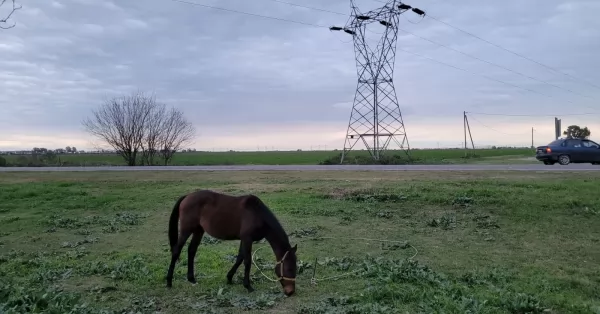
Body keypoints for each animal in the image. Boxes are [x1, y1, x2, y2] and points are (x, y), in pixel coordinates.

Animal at [164, 190, 298, 296]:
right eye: (289, 268)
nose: (291, 291)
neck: (257, 214)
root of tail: (187, 196)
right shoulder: (247, 239)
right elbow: (247, 261)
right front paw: (248, 286)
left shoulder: (243, 239)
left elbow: (239, 258)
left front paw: (229, 278)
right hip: (186, 230)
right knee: (176, 251)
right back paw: (169, 281)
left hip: (198, 230)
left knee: (191, 250)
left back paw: (191, 279)